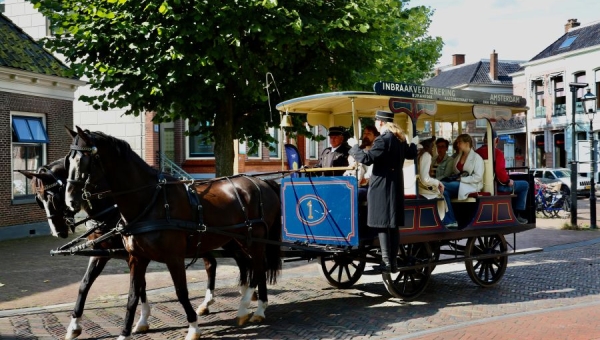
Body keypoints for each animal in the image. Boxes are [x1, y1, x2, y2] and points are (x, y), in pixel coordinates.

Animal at [65, 126, 282, 338]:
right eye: (69, 160)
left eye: (83, 160)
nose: (70, 200)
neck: (149, 201)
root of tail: (263, 183)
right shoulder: (135, 257)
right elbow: (131, 295)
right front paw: (125, 332)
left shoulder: (173, 257)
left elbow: (181, 292)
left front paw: (193, 327)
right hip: (237, 241)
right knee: (249, 266)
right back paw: (255, 307)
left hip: (255, 240)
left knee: (258, 268)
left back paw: (247, 308)